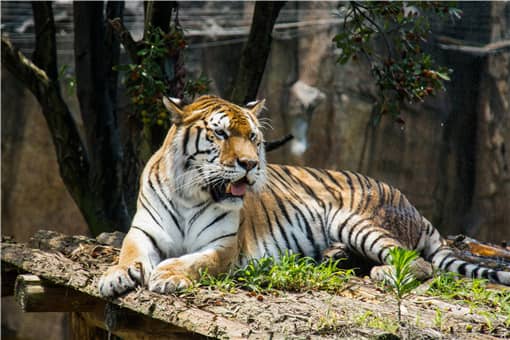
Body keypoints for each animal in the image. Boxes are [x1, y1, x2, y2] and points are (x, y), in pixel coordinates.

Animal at [97, 94, 508, 296]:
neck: (192, 195)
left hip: (355, 221)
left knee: (417, 263)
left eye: (252, 137)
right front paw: (114, 277)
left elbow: (194, 261)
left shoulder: (223, 246)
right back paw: (335, 257)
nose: (250, 164)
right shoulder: (143, 232)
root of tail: (415, 208)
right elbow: (127, 253)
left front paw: (167, 275)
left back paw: (383, 273)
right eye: (221, 134)